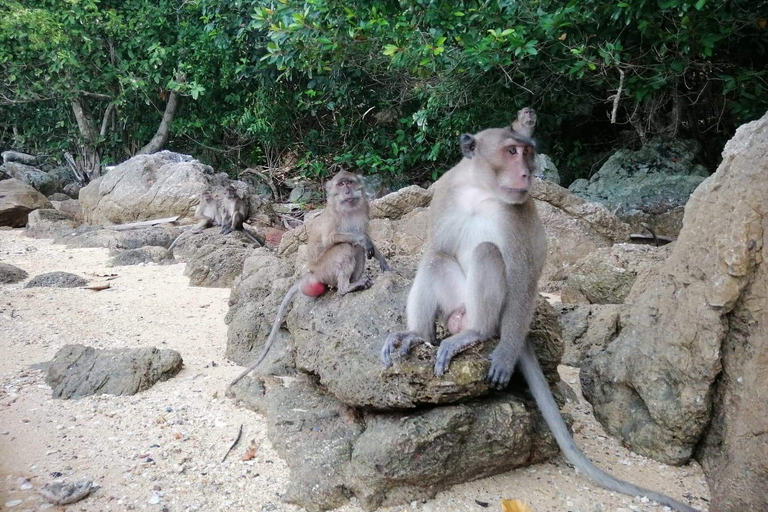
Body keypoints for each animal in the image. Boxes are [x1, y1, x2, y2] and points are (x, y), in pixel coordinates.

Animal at [228, 170, 390, 390]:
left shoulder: (364, 210)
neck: (348, 209)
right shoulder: (334, 219)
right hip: (326, 269)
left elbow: (366, 237)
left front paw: (381, 259)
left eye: (349, 183)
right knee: (346, 247)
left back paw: (355, 280)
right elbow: (335, 239)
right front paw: (363, 241)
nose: (347, 191)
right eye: (341, 185)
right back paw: (346, 287)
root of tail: (313, 273)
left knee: (356, 251)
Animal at [380, 127, 700, 512]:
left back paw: (476, 334)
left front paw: (505, 356)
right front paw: (415, 332)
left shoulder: (517, 215)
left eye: (527, 152)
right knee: (438, 258)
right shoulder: (445, 193)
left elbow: (523, 279)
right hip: (457, 304)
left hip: (497, 317)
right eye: (511, 151)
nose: (526, 173)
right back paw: (418, 334)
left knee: (487, 255)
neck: (480, 190)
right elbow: (435, 247)